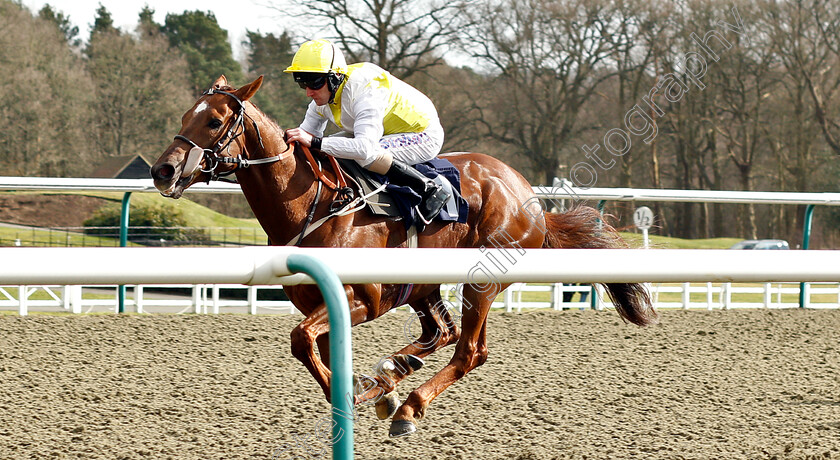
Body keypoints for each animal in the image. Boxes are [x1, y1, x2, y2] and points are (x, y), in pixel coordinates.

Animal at [154, 75, 660, 438]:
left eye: (214, 121)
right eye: (185, 114)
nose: (163, 170)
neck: (317, 202)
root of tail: (530, 198)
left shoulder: (364, 298)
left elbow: (302, 340)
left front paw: (353, 396)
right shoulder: (322, 300)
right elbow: (314, 343)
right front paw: (366, 386)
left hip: (481, 282)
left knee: (469, 349)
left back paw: (408, 406)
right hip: (423, 285)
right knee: (440, 333)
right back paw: (393, 376)